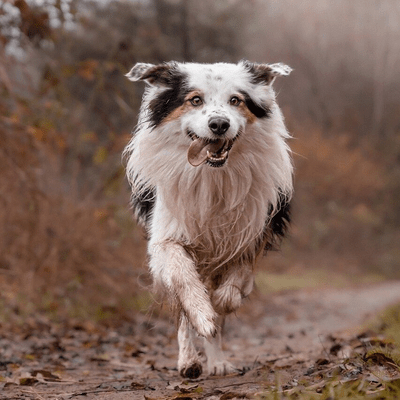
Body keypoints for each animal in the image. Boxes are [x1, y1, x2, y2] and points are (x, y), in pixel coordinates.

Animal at [124, 60, 294, 378]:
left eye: (235, 100)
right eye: (195, 100)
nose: (219, 124)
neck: (212, 177)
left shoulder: (251, 234)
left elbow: (233, 287)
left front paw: (218, 307)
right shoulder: (165, 240)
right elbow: (184, 282)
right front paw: (203, 315)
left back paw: (216, 361)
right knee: (182, 308)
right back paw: (189, 361)